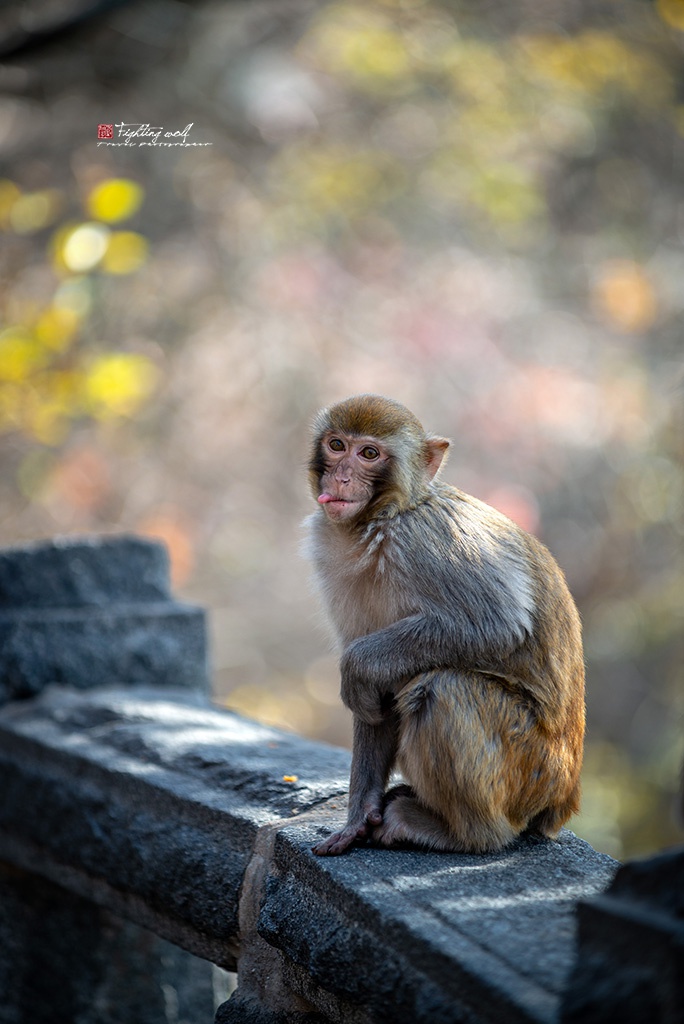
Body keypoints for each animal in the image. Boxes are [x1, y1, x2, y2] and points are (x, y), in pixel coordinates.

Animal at [305, 393, 589, 856]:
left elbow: (497, 623)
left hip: (531, 768)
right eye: (336, 445)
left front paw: (357, 667)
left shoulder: (425, 541)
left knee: (442, 688)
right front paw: (358, 816)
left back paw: (463, 833)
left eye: (369, 454)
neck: (383, 516)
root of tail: (563, 801)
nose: (342, 477)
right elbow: (377, 701)